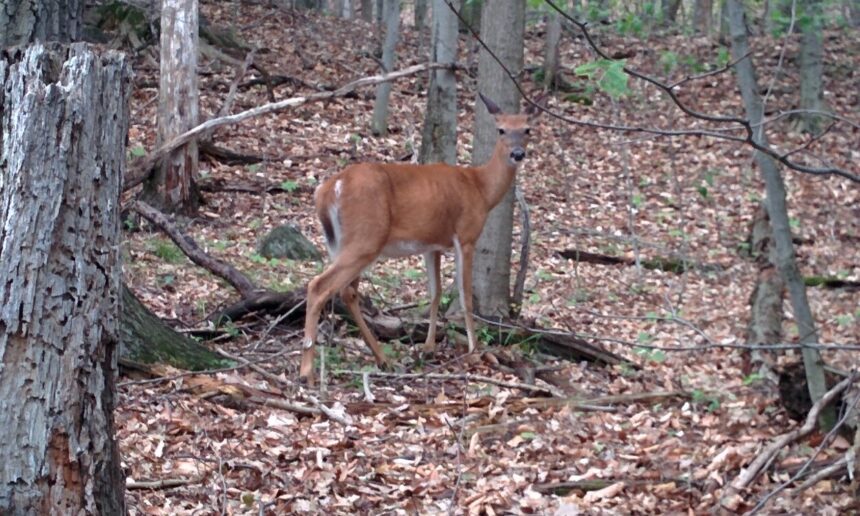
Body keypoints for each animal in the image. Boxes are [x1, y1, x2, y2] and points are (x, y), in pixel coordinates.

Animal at [298, 92, 536, 382]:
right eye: (501, 129)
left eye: (527, 129)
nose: (517, 153)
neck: (481, 189)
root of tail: (329, 189)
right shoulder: (466, 235)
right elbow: (465, 295)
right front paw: (474, 351)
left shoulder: (432, 244)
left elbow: (435, 293)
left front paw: (429, 347)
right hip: (365, 238)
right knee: (319, 286)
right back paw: (307, 371)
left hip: (343, 243)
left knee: (347, 292)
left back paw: (382, 359)